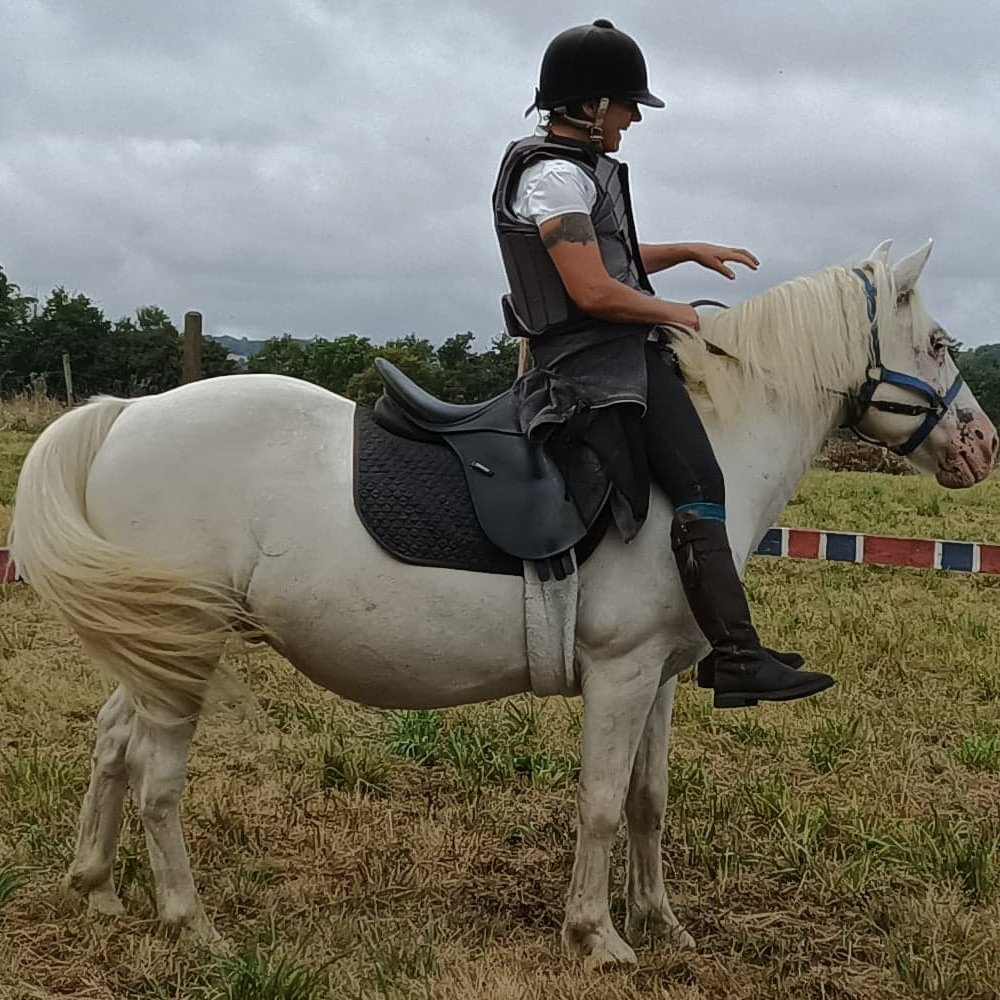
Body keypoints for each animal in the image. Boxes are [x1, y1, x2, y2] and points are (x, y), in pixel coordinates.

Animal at [8, 239, 996, 971]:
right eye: (940, 343)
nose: (981, 447)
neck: (708, 452)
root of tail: (126, 414)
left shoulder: (661, 678)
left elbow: (648, 801)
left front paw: (661, 923)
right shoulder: (620, 674)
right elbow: (599, 802)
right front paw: (598, 937)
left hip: (160, 646)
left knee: (112, 741)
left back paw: (97, 887)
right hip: (186, 651)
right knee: (158, 780)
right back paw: (190, 924)